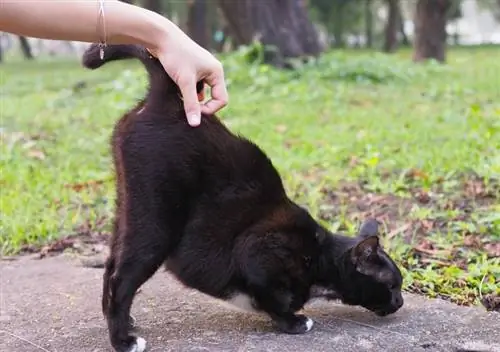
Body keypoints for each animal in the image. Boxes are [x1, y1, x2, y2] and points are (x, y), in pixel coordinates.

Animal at [81, 43, 402, 352]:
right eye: (391, 285)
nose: (400, 302)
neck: (322, 257)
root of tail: (168, 96)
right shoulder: (258, 250)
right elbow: (273, 298)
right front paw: (292, 321)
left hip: (128, 207)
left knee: (111, 264)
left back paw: (121, 321)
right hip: (157, 221)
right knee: (121, 278)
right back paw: (123, 340)